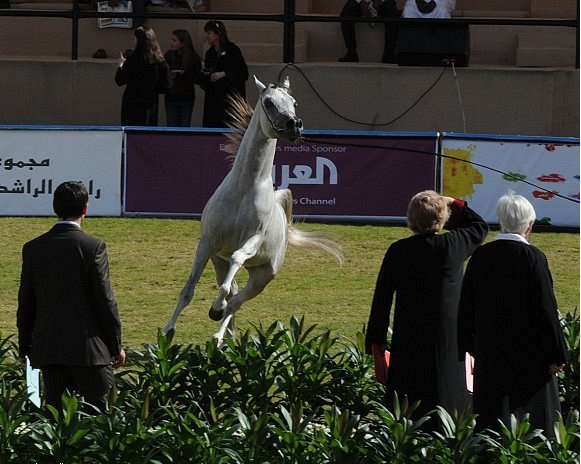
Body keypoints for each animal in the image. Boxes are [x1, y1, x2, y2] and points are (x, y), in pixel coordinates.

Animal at [163, 76, 342, 344]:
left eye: (294, 102)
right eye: (268, 102)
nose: (294, 125)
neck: (244, 188)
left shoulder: (251, 242)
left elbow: (234, 268)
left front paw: (215, 310)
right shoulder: (207, 245)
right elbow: (188, 291)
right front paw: (165, 334)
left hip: (262, 276)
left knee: (235, 300)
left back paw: (219, 331)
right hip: (219, 262)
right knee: (232, 292)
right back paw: (225, 336)